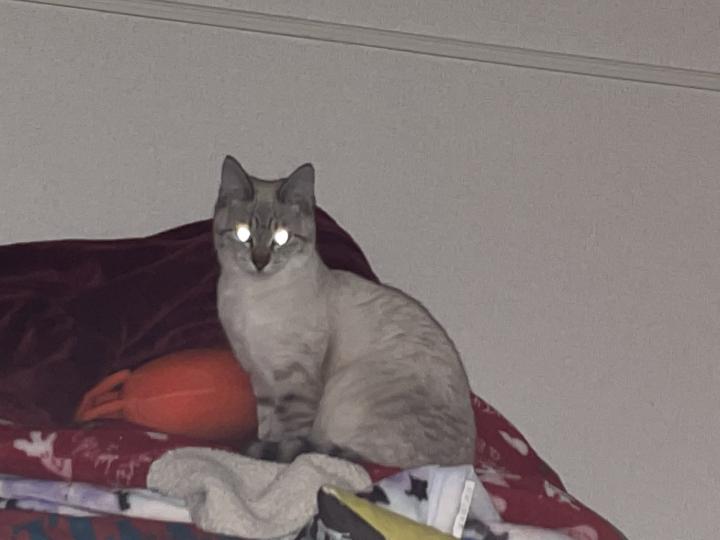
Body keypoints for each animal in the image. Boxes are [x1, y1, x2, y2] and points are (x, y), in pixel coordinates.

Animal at [214, 155, 476, 468]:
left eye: (282, 237)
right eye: (243, 234)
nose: (260, 262)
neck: (251, 296)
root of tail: (463, 461)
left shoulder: (294, 379)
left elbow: (287, 437)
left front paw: (272, 461)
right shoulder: (261, 377)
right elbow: (267, 428)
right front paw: (263, 450)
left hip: (346, 394)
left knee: (341, 454)